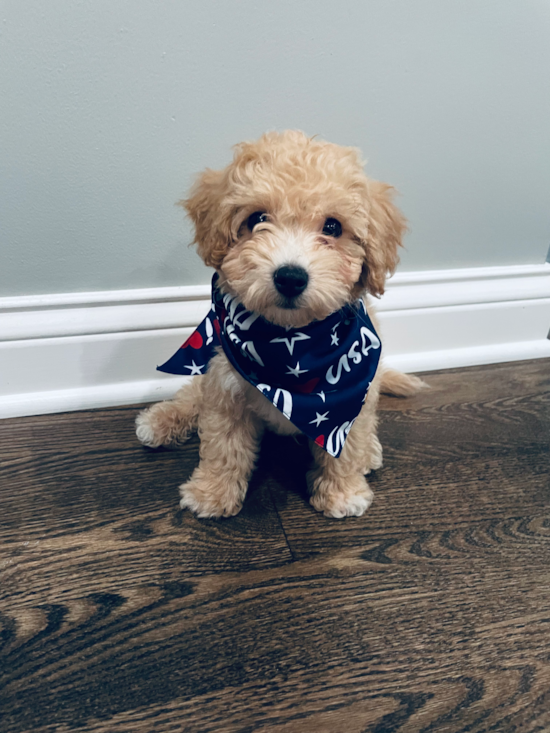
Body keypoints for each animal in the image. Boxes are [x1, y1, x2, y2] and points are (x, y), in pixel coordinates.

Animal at [135, 133, 426, 520]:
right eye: (257, 218)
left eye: (333, 227)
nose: (290, 277)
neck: (292, 344)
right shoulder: (225, 384)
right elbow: (222, 446)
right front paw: (212, 493)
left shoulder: (354, 396)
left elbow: (345, 448)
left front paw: (342, 493)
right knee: (191, 394)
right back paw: (160, 420)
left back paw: (371, 452)